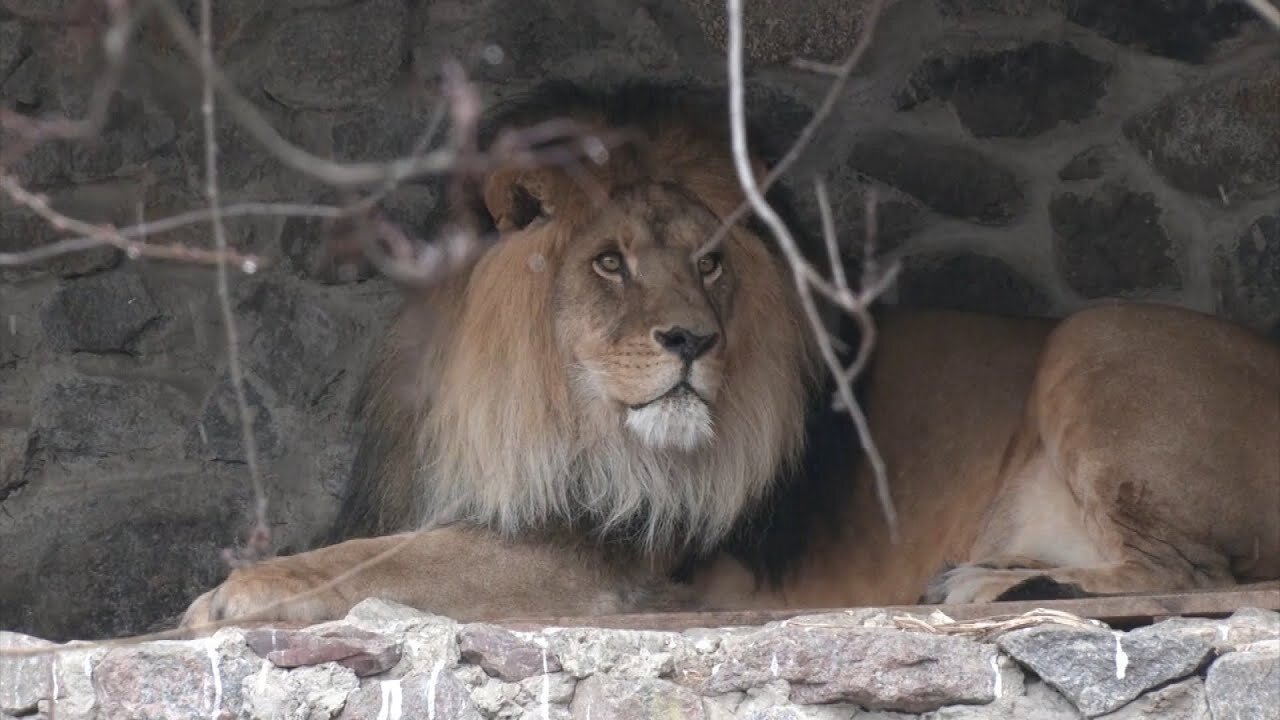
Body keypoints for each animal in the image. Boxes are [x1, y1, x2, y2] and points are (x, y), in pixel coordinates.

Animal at [180, 81, 1280, 625]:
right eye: (610, 262)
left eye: (709, 263)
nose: (693, 340)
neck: (511, 403)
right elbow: (382, 545)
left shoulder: (609, 561)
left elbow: (385, 561)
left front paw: (232, 592)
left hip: (1098, 337)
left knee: (1197, 574)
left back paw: (988, 588)